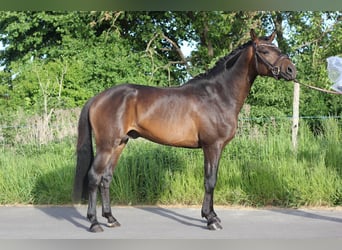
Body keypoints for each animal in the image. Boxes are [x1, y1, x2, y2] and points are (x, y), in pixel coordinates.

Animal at [73, 29, 296, 232]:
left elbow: (211, 179)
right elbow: (210, 181)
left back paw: (111, 219)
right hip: (106, 146)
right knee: (94, 177)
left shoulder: (215, 148)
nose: (291, 70)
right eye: (264, 51)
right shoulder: (212, 146)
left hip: (119, 144)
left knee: (106, 178)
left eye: (278, 48)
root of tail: (98, 98)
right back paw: (94, 223)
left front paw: (211, 215)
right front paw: (211, 220)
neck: (218, 95)